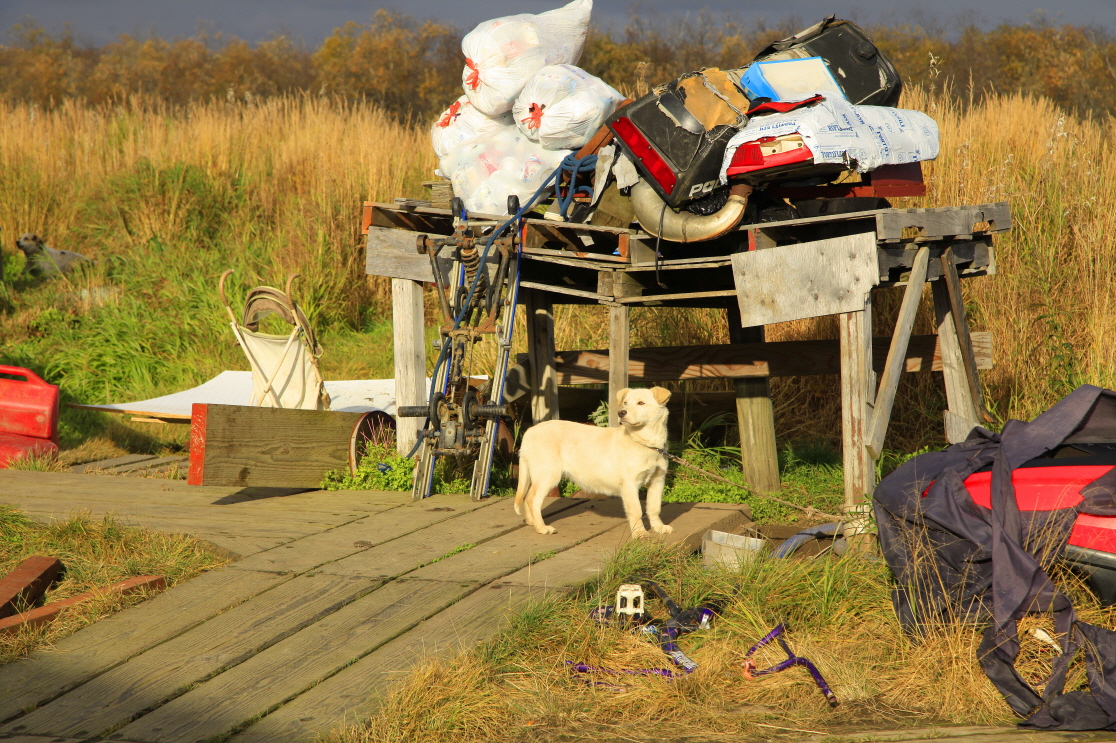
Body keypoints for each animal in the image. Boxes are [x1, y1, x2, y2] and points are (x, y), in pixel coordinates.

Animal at [514, 386, 673, 537]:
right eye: (625, 403)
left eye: (641, 403)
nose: (621, 413)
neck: (646, 442)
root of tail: (529, 431)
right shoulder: (630, 484)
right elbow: (636, 510)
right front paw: (639, 533)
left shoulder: (658, 480)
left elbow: (654, 508)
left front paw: (659, 527)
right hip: (547, 475)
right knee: (532, 499)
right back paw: (541, 528)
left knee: (527, 496)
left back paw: (532, 522)